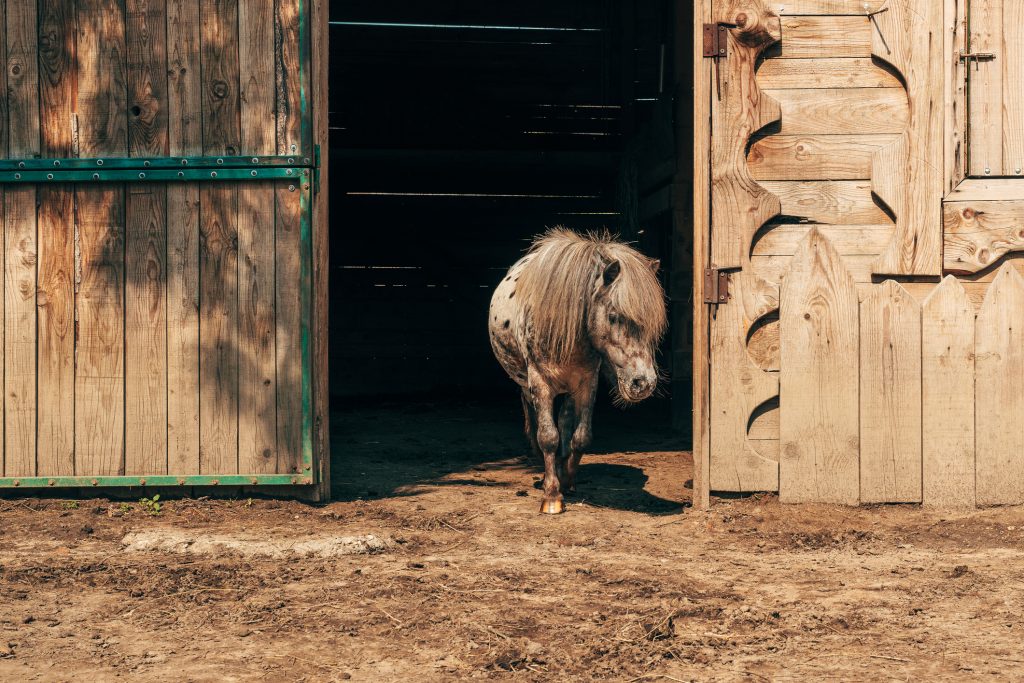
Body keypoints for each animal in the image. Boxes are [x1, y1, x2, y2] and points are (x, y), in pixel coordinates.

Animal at [489, 229, 667, 511]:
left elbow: (581, 436)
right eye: (614, 316)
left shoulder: (586, 383)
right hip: (528, 386)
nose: (644, 383)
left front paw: (568, 482)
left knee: (565, 423)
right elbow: (547, 436)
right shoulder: (539, 382)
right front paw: (551, 496)